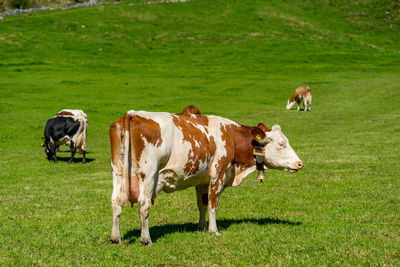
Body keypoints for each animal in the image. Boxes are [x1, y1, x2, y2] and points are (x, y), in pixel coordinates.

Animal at [109, 107, 304, 245]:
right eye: (281, 144)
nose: (300, 163)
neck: (231, 137)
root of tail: (132, 114)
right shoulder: (218, 175)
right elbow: (212, 204)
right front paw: (213, 230)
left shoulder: (201, 180)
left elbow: (201, 204)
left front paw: (201, 227)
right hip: (148, 174)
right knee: (144, 205)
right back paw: (146, 239)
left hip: (118, 172)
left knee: (116, 203)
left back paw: (115, 238)